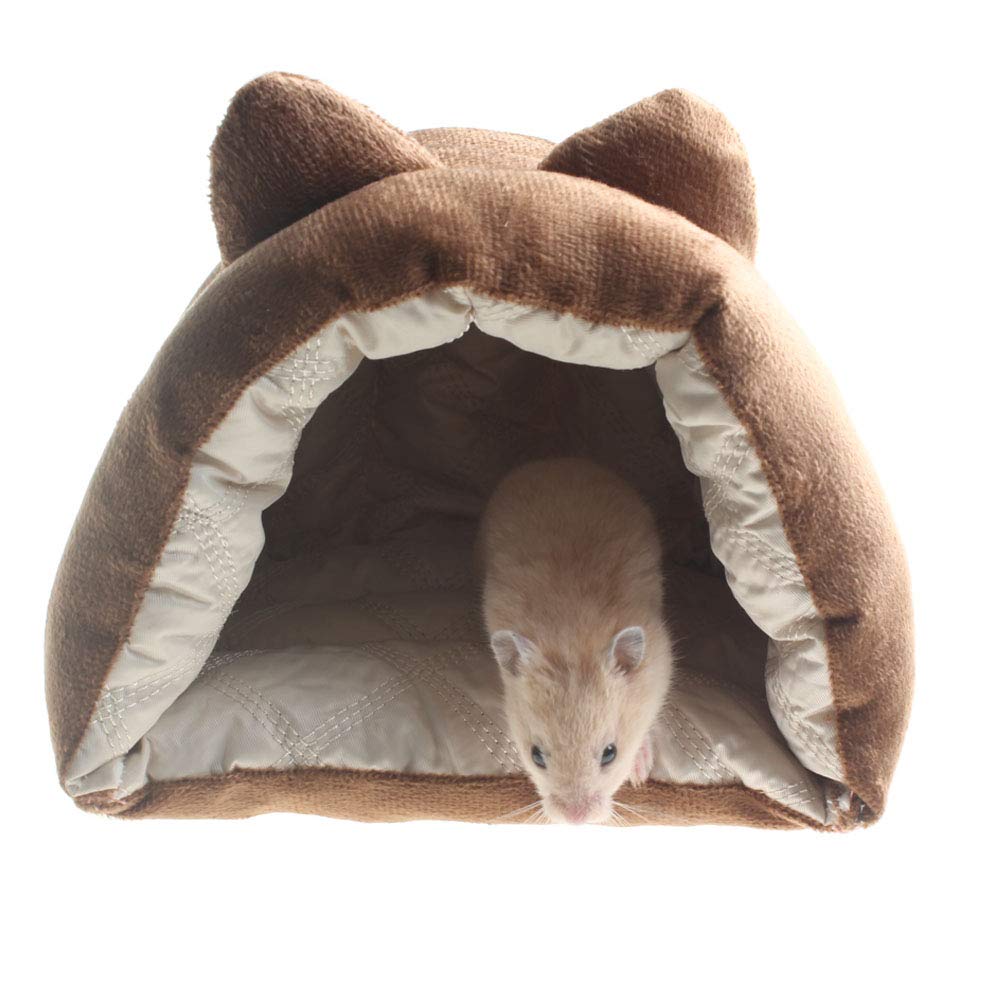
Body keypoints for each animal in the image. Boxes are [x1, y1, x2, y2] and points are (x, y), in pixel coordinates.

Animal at [478, 457, 673, 825]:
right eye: (536, 756)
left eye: (610, 753)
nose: (575, 820)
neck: (571, 636)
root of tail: (559, 460)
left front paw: (639, 776)